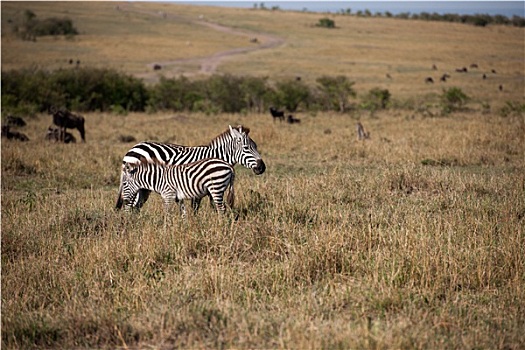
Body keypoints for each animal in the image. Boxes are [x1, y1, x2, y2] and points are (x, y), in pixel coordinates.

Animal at [116, 125, 264, 211]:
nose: (262, 167)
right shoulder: (195, 184)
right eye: (246, 148)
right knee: (129, 205)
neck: (215, 156)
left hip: (143, 188)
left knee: (135, 206)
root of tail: (132, 148)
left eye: (256, 146)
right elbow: (196, 208)